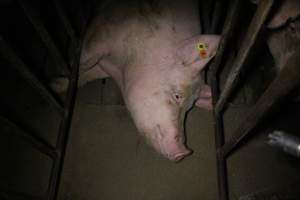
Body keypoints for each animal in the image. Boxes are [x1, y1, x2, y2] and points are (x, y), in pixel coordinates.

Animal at [52, 0, 220, 162]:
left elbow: (88, 75)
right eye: (177, 96)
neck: (121, 69)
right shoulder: (102, 34)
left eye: (189, 107)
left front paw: (56, 85)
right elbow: (85, 61)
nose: (184, 152)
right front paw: (56, 83)